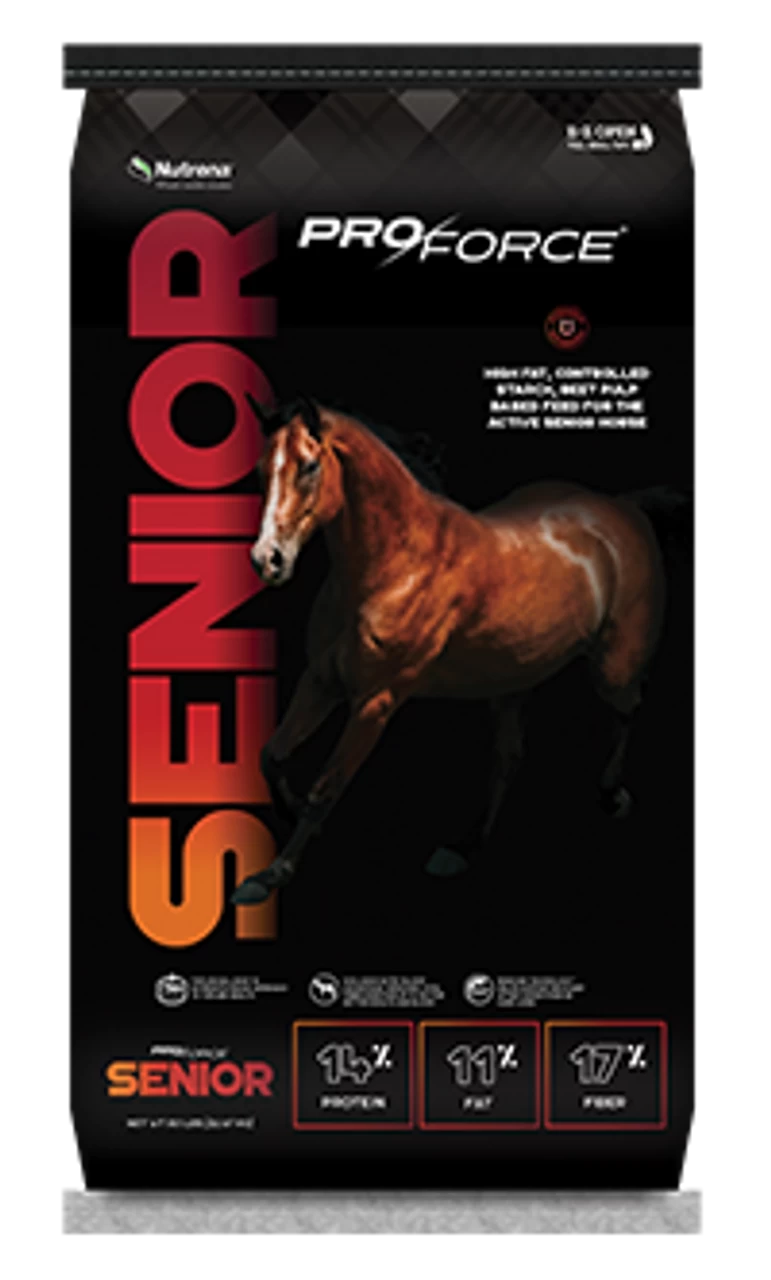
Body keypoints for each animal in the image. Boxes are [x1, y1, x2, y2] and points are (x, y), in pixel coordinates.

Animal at [231, 397, 666, 904]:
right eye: (261, 470)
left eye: (309, 466)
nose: (268, 561)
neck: (396, 567)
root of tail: (623, 508)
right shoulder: (320, 681)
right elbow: (271, 755)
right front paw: (288, 820)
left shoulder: (375, 702)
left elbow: (327, 786)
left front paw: (270, 876)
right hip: (512, 680)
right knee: (508, 758)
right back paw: (462, 848)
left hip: (613, 666)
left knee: (627, 707)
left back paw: (612, 796)